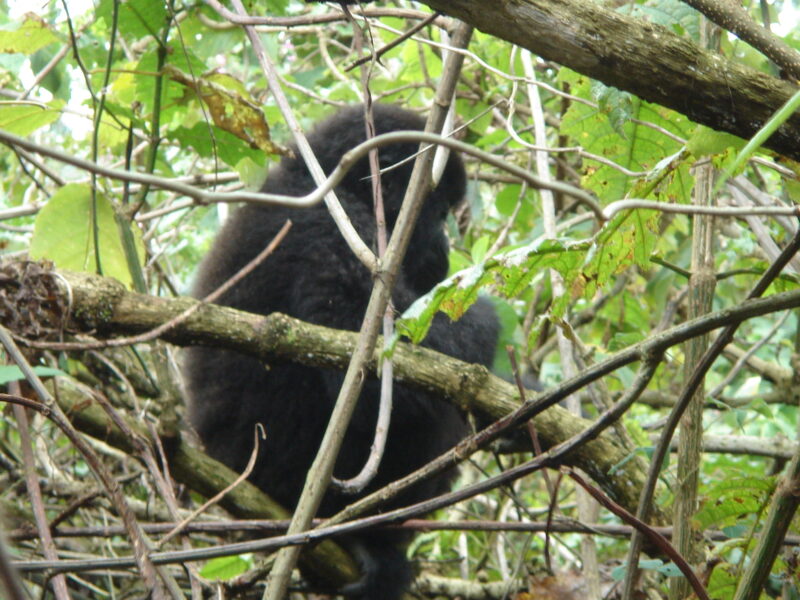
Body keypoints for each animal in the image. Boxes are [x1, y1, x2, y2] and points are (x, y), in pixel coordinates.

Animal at [184, 105, 496, 596]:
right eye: (441, 211)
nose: (447, 247)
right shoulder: (333, 237)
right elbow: (373, 378)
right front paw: (488, 317)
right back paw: (362, 540)